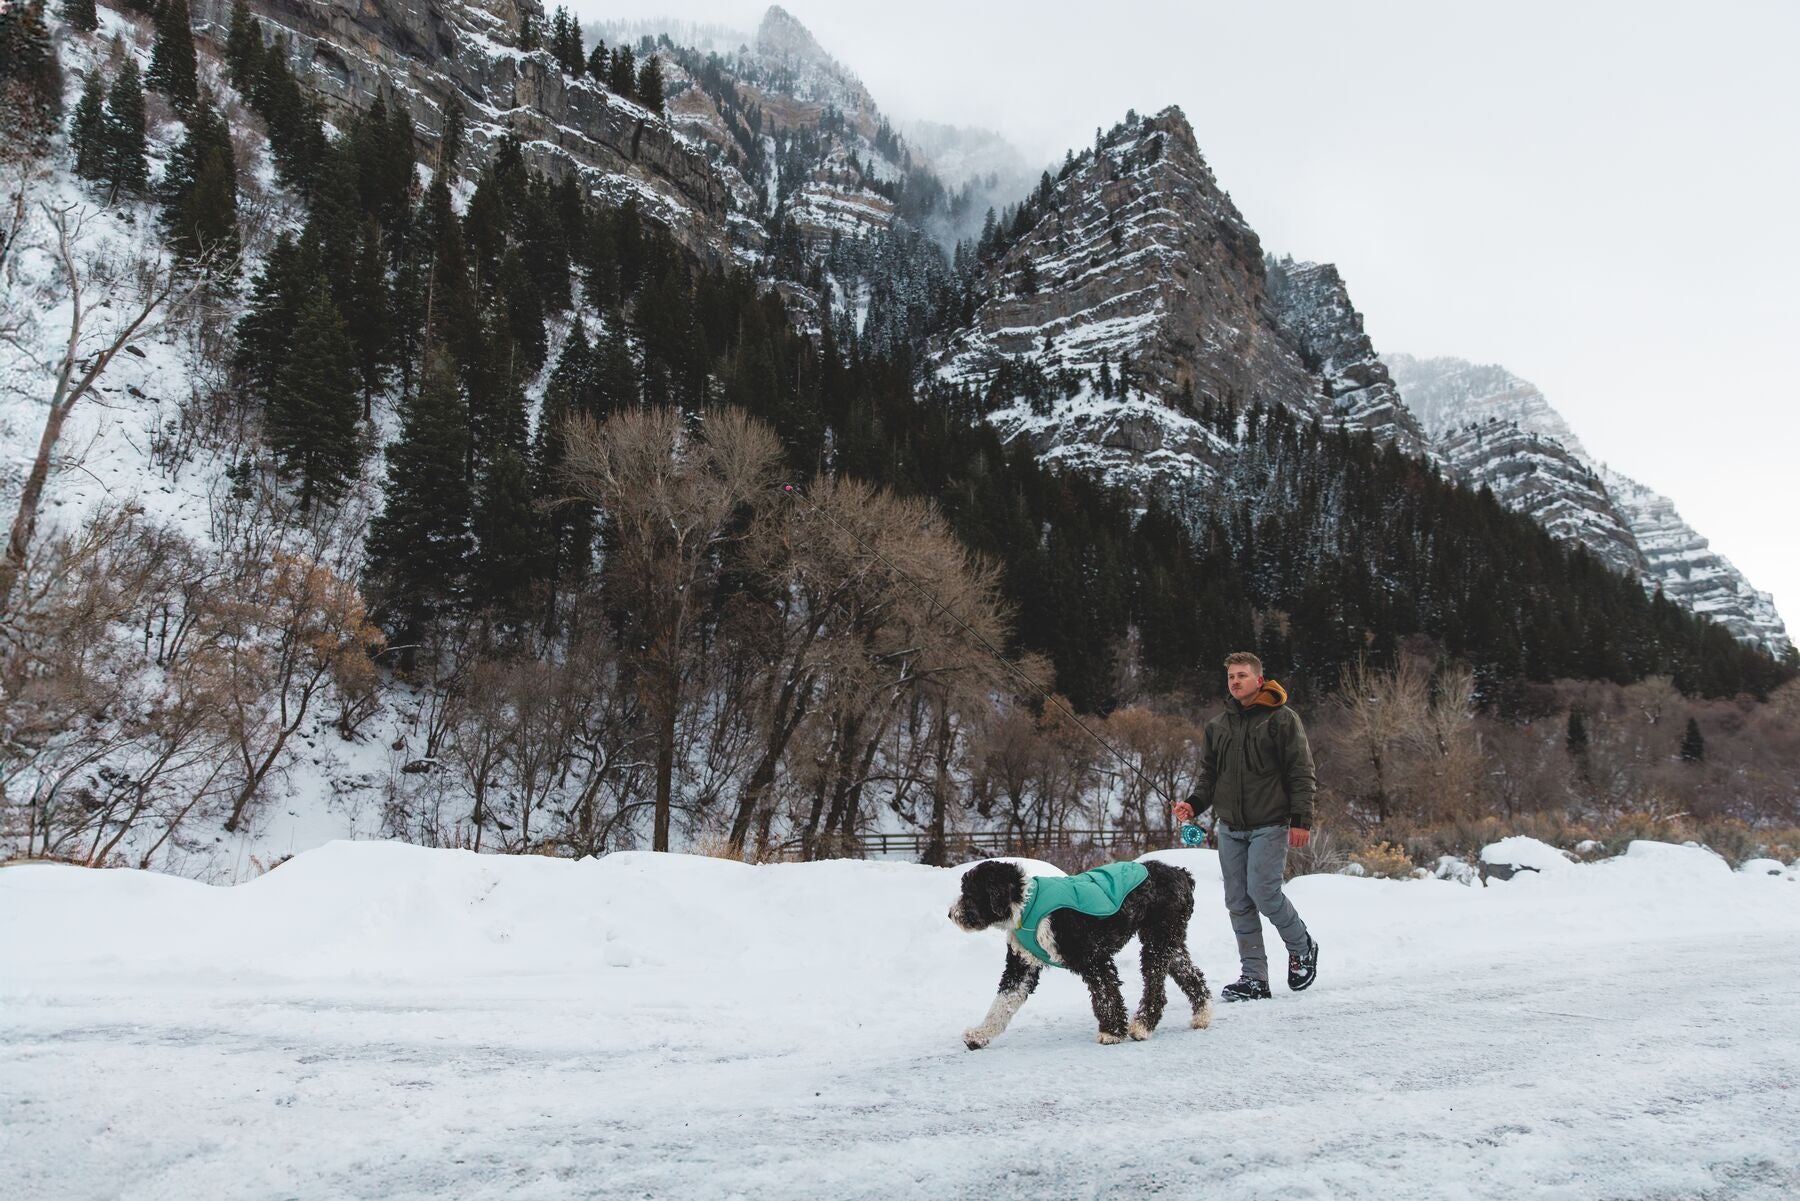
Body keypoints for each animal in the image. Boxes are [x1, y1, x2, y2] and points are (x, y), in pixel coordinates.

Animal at [950, 860, 1216, 1044]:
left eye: (970, 893)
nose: (951, 914)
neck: (1026, 905)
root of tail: (1180, 873)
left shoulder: (1093, 957)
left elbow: (1106, 994)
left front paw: (1111, 1032)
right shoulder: (1021, 967)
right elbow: (1002, 1003)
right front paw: (979, 1035)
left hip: (1158, 941)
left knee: (1156, 989)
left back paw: (1142, 1025)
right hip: (1170, 942)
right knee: (1190, 974)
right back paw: (1202, 1014)